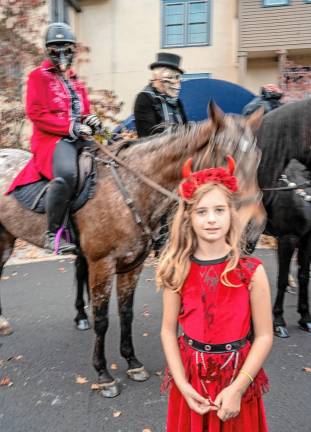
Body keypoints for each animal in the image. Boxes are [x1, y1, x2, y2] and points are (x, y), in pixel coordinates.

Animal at [0, 104, 264, 398]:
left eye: (257, 157)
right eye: (227, 159)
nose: (253, 226)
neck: (131, 188)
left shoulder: (132, 264)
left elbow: (127, 313)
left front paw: (132, 362)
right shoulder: (101, 264)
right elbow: (102, 319)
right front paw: (104, 374)